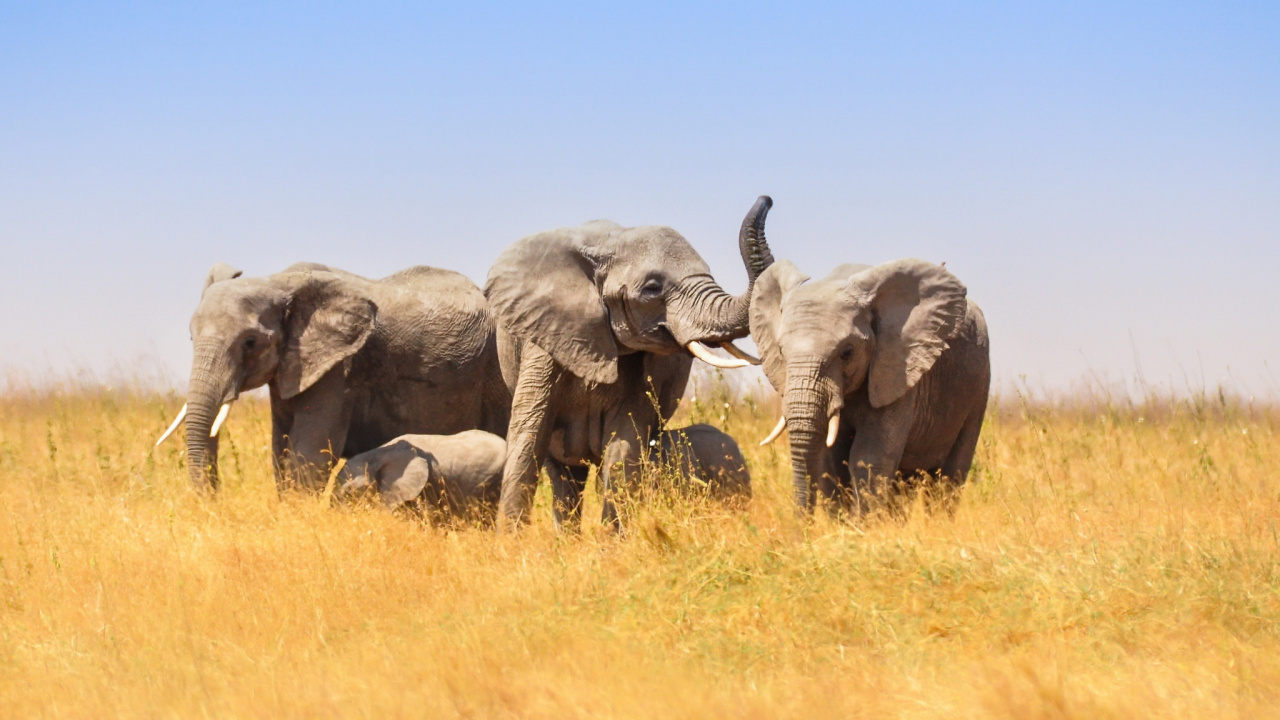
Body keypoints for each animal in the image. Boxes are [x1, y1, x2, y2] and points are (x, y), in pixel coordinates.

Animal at [157, 262, 511, 492]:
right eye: (191, 337)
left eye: (250, 342)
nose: (212, 500)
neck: (279, 282)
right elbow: (281, 452)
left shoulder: (339, 370)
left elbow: (308, 454)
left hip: (497, 368)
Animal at [485, 196, 776, 529]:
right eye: (652, 288)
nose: (766, 199)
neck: (610, 243)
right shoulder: (545, 335)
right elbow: (529, 433)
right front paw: (511, 539)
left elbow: (624, 444)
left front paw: (612, 541)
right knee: (563, 474)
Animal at [750, 258, 990, 515]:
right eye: (781, 351)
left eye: (847, 352)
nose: (804, 522)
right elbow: (832, 459)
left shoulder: (898, 370)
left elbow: (869, 457)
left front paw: (865, 523)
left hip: (978, 386)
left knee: (951, 474)